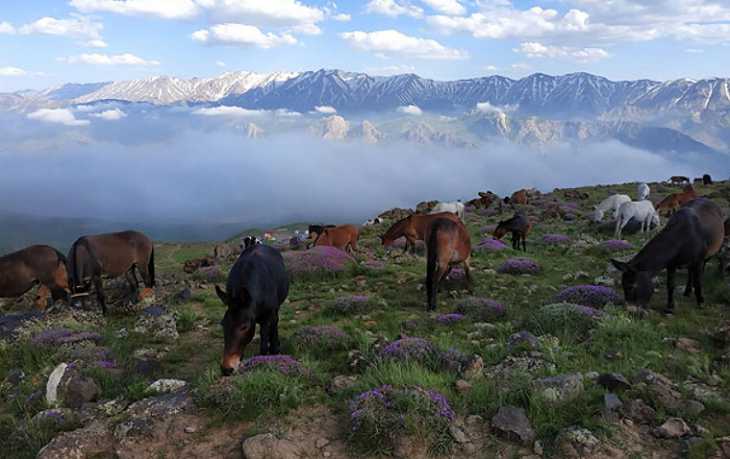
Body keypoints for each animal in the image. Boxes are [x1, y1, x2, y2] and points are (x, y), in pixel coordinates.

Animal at [213, 244, 288, 378]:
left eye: (244, 326)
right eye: (222, 324)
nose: (226, 369)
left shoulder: (268, 315)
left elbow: (264, 342)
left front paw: (269, 355)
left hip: (275, 309)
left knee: (275, 323)